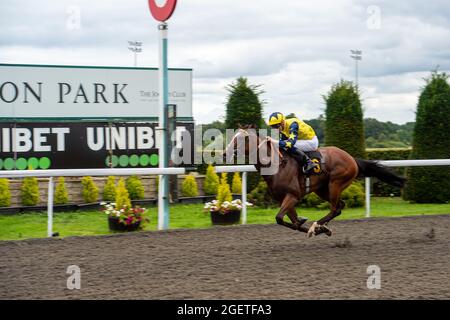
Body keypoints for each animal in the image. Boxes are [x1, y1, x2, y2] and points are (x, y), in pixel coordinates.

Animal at [224, 125, 404, 238]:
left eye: (242, 139)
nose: (225, 153)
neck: (276, 164)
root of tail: (352, 158)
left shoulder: (293, 195)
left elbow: (280, 218)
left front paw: (315, 228)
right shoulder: (284, 199)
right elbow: (291, 222)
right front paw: (315, 228)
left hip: (335, 183)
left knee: (335, 209)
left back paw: (317, 225)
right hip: (322, 189)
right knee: (340, 206)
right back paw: (320, 226)